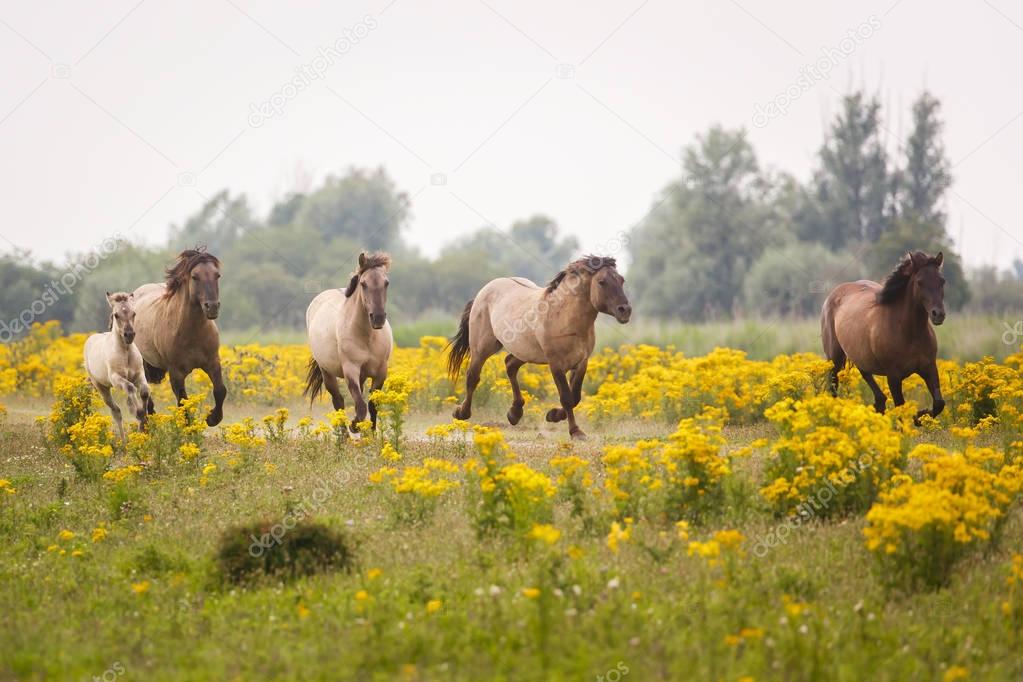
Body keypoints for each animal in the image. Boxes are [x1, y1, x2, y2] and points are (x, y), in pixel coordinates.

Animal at [83, 292, 151, 441]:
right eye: (116, 315)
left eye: (134, 313)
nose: (129, 335)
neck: (125, 353)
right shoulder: (116, 378)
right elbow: (130, 388)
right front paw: (139, 413)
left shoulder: (139, 374)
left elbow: (144, 391)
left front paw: (144, 423)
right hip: (101, 387)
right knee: (116, 412)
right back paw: (124, 442)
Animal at [132, 248, 227, 427]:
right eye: (195, 276)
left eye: (217, 275)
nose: (212, 307)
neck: (192, 333)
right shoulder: (176, 372)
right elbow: (183, 402)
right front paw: (189, 428)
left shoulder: (212, 362)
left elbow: (220, 391)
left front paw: (212, 418)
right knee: (145, 394)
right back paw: (149, 423)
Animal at [304, 252, 393, 430]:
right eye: (363, 284)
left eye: (386, 283)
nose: (378, 318)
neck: (367, 337)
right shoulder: (350, 370)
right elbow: (360, 406)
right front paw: (354, 425)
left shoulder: (381, 372)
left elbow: (372, 406)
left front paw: (370, 433)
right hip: (327, 372)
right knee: (338, 402)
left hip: (362, 376)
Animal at [446, 255, 631, 440]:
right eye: (601, 282)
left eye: (622, 280)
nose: (625, 310)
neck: (564, 317)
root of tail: (483, 291)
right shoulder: (556, 364)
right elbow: (567, 397)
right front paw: (575, 431)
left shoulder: (581, 362)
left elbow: (575, 397)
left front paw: (553, 415)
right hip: (482, 348)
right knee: (473, 376)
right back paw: (461, 413)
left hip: (524, 352)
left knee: (509, 365)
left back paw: (514, 413)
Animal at [821, 251, 946, 422]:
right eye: (920, 282)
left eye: (942, 281)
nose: (938, 314)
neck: (910, 333)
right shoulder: (893, 376)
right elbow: (901, 408)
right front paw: (916, 418)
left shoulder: (929, 368)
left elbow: (939, 403)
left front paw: (920, 415)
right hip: (834, 358)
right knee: (833, 387)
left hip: (859, 355)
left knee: (870, 382)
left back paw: (877, 407)